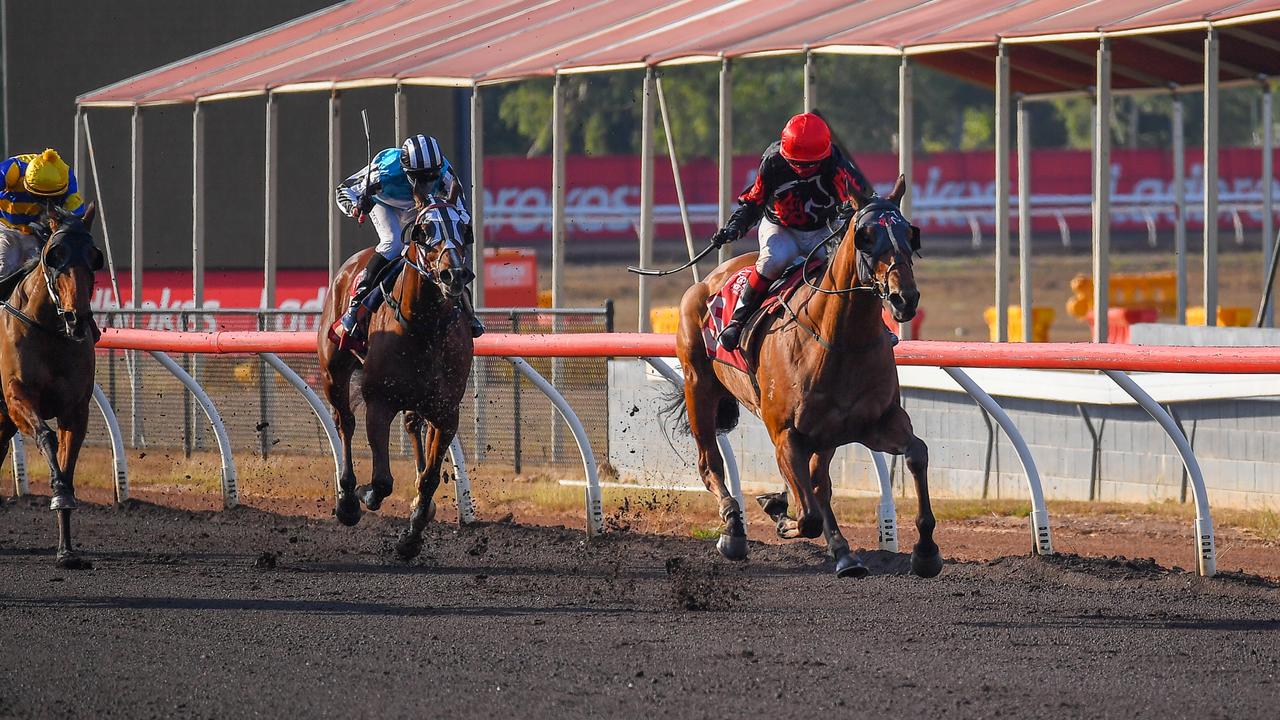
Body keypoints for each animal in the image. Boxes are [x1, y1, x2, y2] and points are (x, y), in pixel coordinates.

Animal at [0, 202, 102, 566]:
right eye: (55, 255)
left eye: (94, 257)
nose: (78, 318)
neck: (48, 329)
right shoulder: (17, 397)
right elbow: (45, 435)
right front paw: (57, 491)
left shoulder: (76, 409)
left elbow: (68, 458)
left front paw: (66, 550)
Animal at [317, 198, 478, 558]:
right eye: (424, 231)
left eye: (464, 228)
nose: (454, 274)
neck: (424, 327)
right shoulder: (379, 402)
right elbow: (382, 481)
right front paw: (364, 495)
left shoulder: (446, 411)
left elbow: (429, 478)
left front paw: (412, 536)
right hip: (334, 371)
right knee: (344, 422)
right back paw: (347, 500)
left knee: (411, 426)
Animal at [670, 178, 942, 576]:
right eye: (865, 236)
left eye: (910, 233)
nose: (903, 298)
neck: (839, 340)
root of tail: (706, 282)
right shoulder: (785, 433)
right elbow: (807, 515)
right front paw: (779, 512)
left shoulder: (876, 422)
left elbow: (917, 453)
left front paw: (926, 551)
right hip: (699, 387)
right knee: (711, 465)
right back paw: (734, 530)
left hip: (824, 435)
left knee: (818, 484)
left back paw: (843, 554)